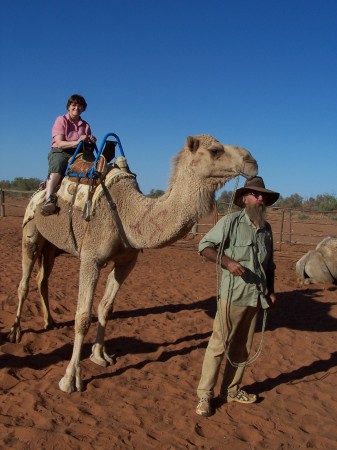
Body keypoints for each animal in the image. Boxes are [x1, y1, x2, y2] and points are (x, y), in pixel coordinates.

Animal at [8, 134, 258, 394]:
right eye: (215, 150)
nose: (252, 161)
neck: (128, 213)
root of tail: (39, 191)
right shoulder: (90, 258)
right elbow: (83, 316)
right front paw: (70, 379)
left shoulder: (126, 262)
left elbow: (106, 307)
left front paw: (100, 356)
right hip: (31, 231)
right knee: (24, 283)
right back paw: (15, 332)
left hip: (51, 246)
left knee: (43, 279)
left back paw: (49, 321)